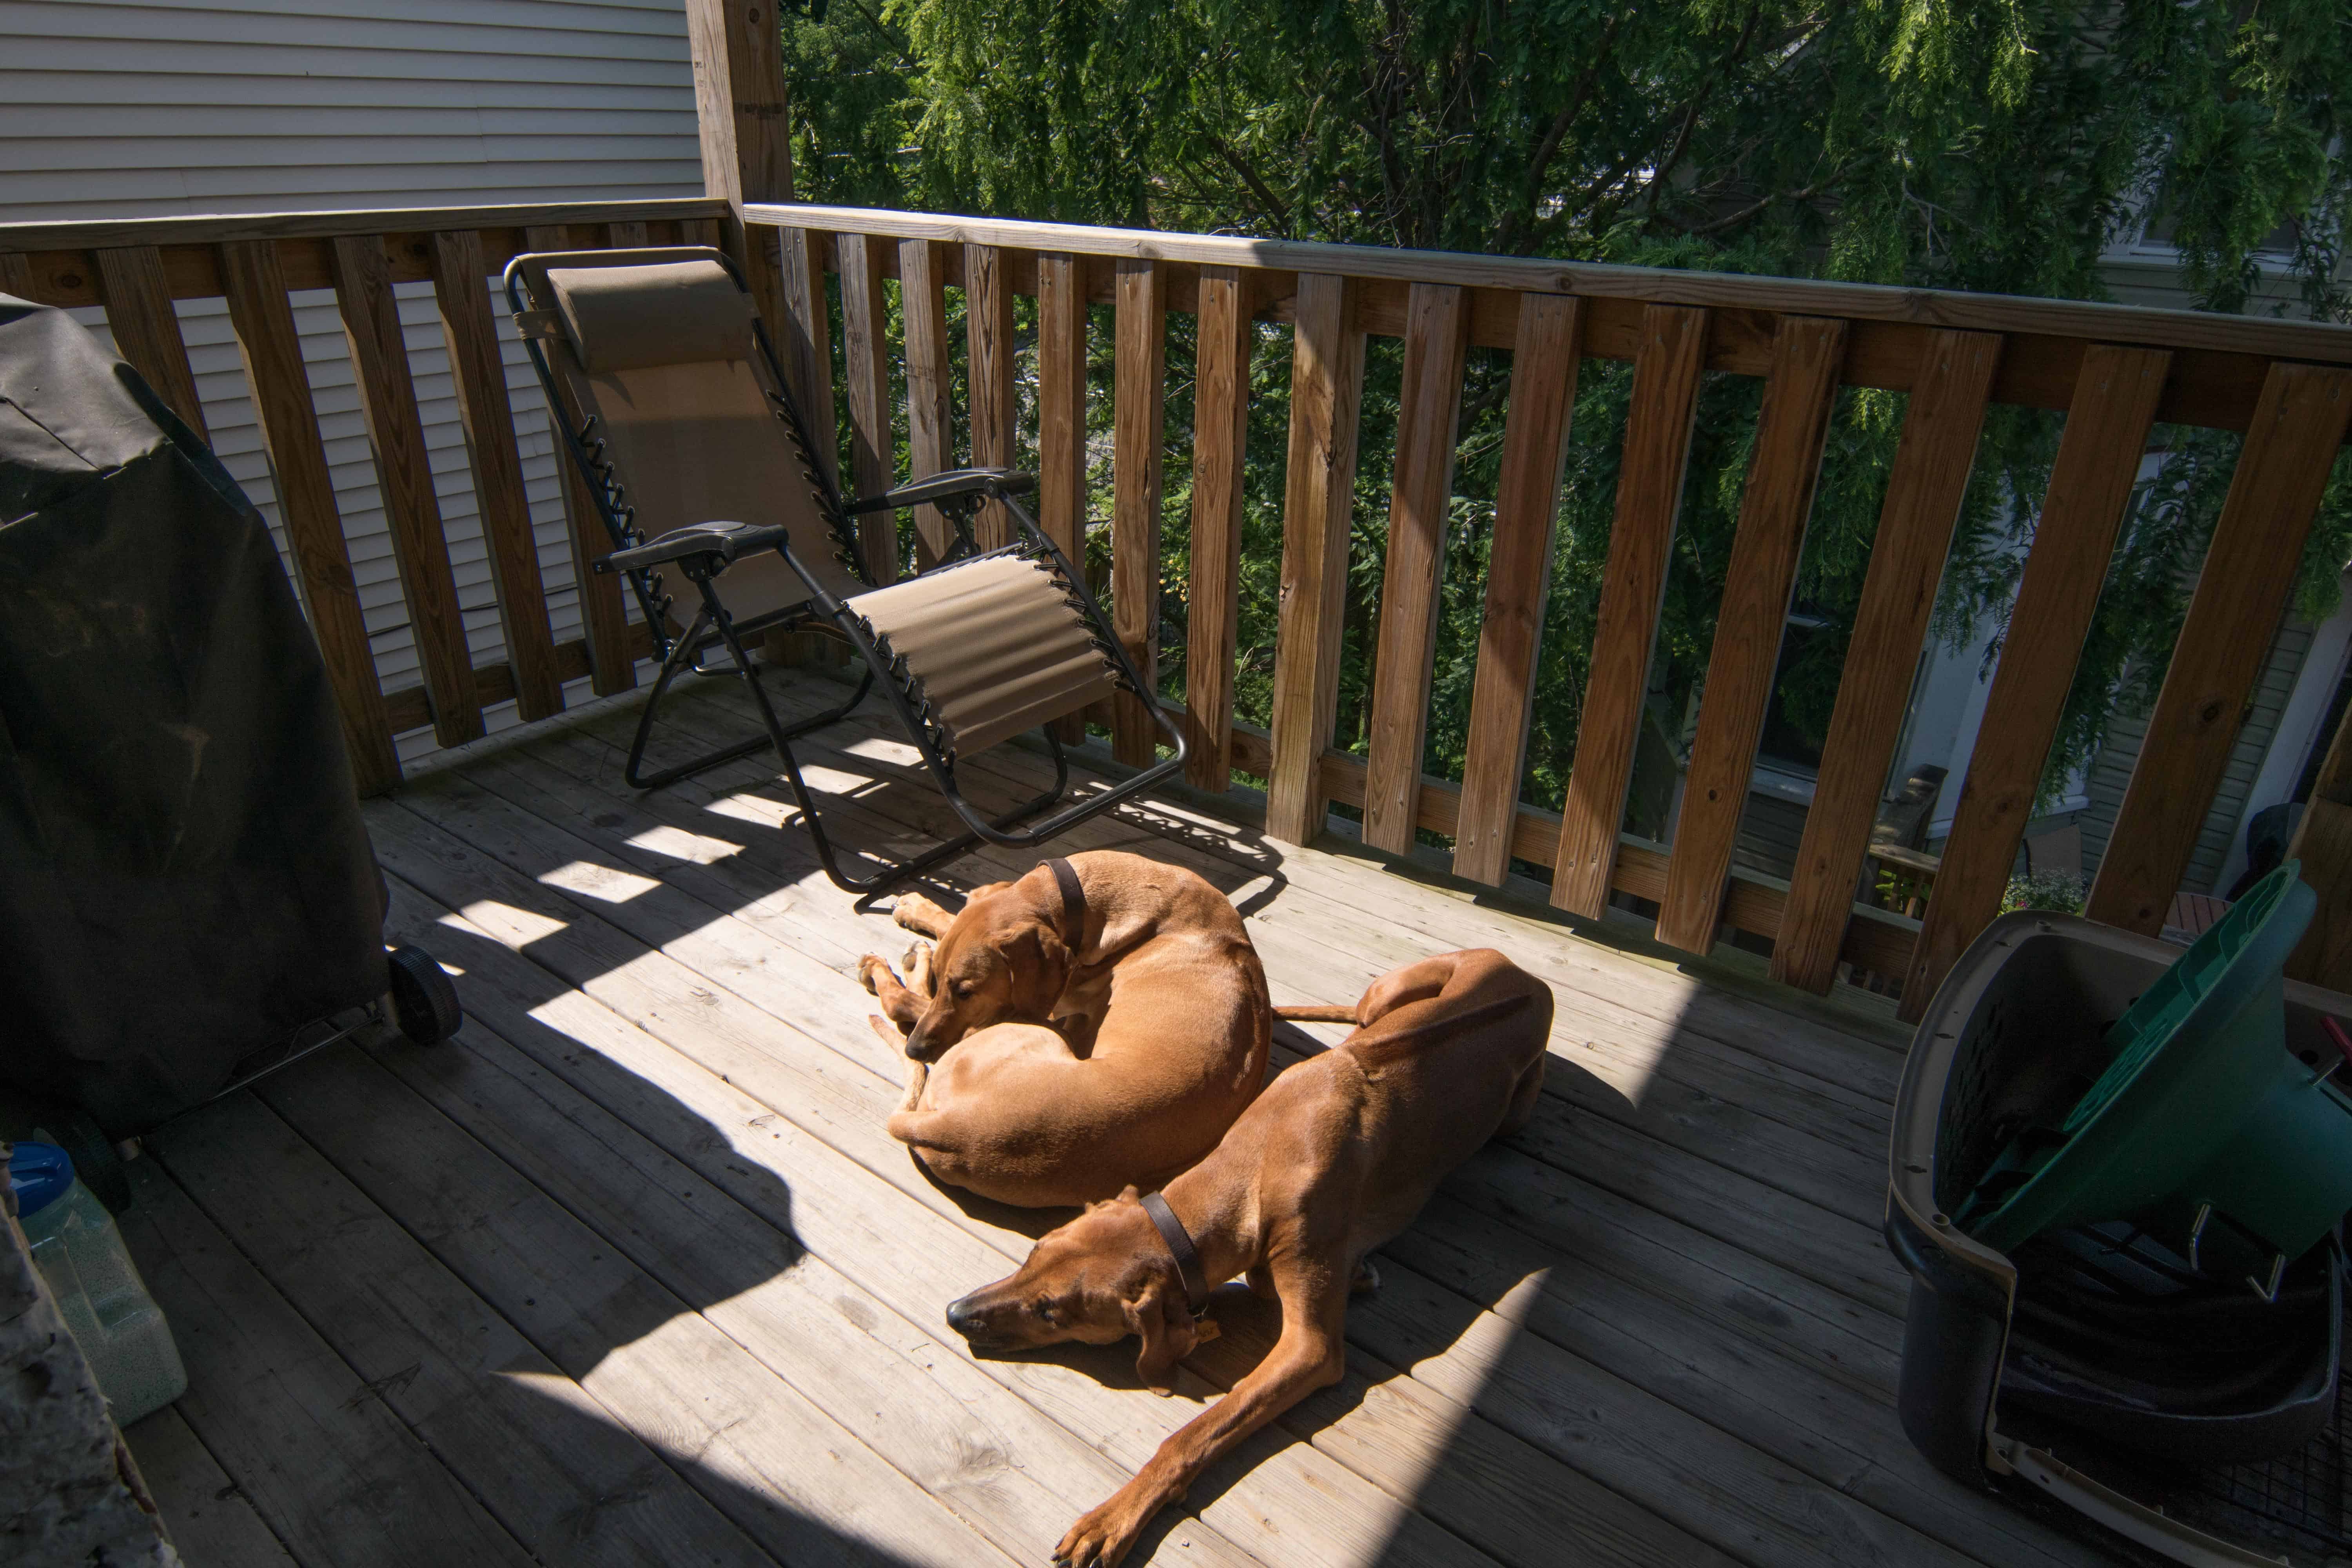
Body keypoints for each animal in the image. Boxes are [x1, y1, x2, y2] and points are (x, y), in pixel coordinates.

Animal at [861, 851, 1270, 1213]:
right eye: (950, 983)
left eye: (966, 992)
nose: (915, 1050)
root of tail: (950, 1128)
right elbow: (951, 921)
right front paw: (918, 909)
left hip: (1032, 1030)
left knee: (908, 1004)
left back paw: (895, 970)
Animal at [936, 949, 1562, 1561]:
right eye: (1032, 1253)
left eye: (1052, 1312)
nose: (954, 1314)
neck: (1261, 1155)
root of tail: (1528, 977)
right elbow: (1263, 1280)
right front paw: (1356, 1272)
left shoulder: (1311, 1348)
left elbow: (1197, 1431)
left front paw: (1113, 1518)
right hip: (1393, 995)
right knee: (1363, 1015)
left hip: (1512, 1112)